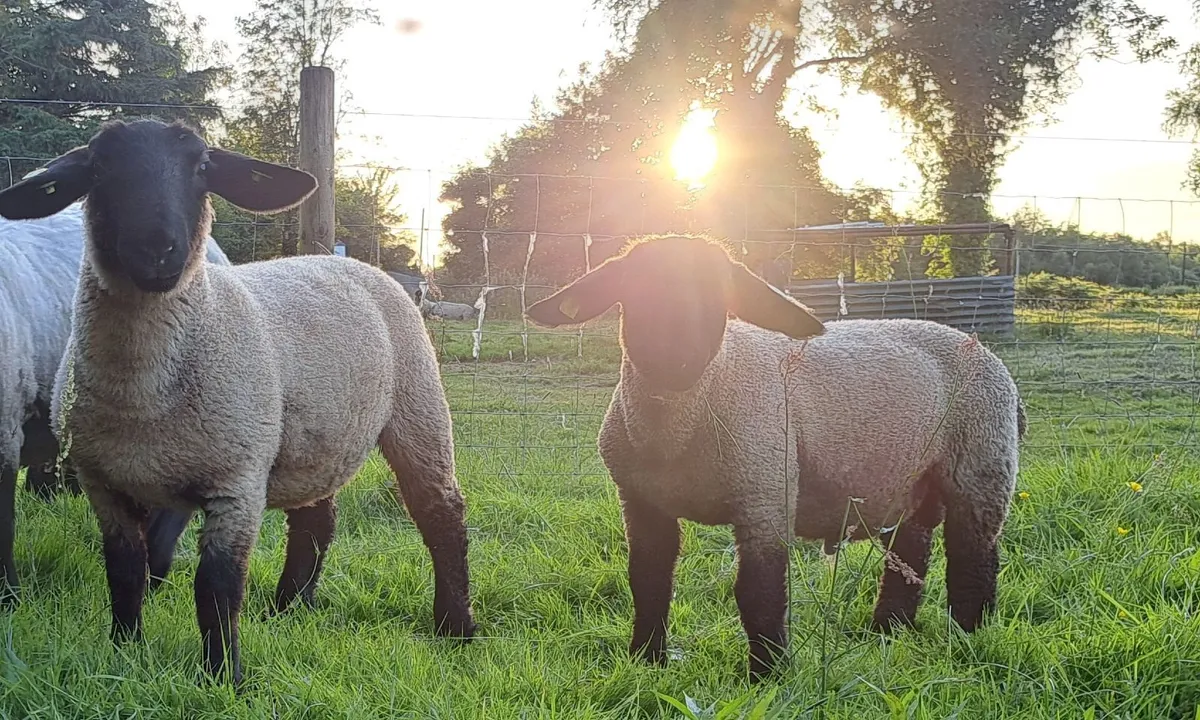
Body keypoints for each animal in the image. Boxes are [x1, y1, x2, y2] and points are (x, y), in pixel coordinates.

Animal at [525, 235, 1024, 680]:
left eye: (721, 295)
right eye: (633, 289)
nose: (676, 360)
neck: (676, 435)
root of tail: (980, 348)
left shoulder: (765, 491)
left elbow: (758, 591)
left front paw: (768, 676)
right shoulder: (641, 501)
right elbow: (647, 579)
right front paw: (646, 660)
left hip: (981, 464)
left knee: (973, 559)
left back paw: (966, 637)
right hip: (907, 482)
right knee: (910, 555)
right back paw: (887, 633)